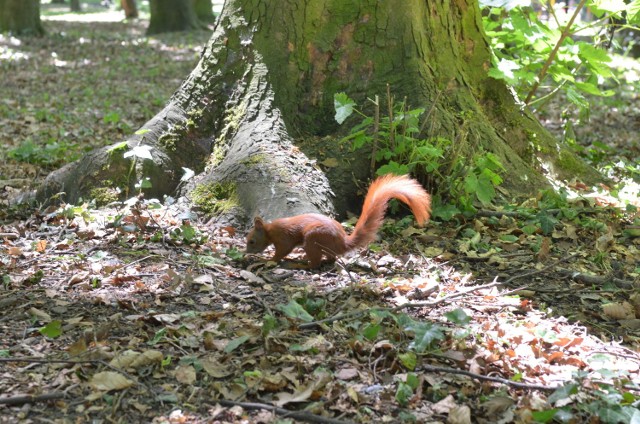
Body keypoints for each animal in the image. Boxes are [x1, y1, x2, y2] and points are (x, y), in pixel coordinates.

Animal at [244, 175, 430, 268]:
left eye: (252, 241)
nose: (246, 252)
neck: (269, 230)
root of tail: (342, 243)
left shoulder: (283, 238)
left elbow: (283, 251)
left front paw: (268, 260)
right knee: (331, 258)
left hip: (312, 238)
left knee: (316, 263)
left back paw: (302, 265)